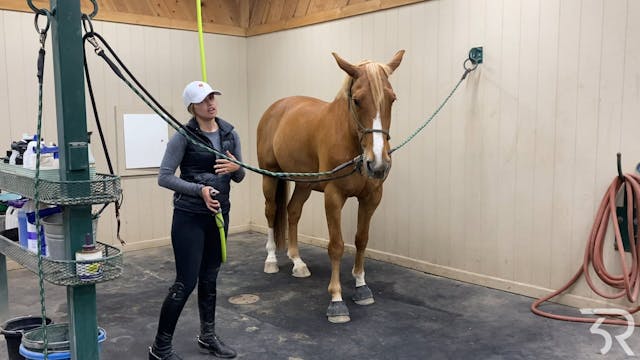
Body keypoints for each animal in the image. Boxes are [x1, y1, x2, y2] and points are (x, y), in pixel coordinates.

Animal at [256, 49, 402, 322]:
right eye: (357, 100)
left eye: (392, 99)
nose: (377, 163)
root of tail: (276, 108)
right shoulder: (334, 197)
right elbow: (336, 246)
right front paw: (336, 300)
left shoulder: (371, 197)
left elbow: (361, 239)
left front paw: (361, 286)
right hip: (269, 176)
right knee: (271, 212)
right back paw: (271, 260)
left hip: (303, 183)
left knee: (293, 212)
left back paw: (298, 263)